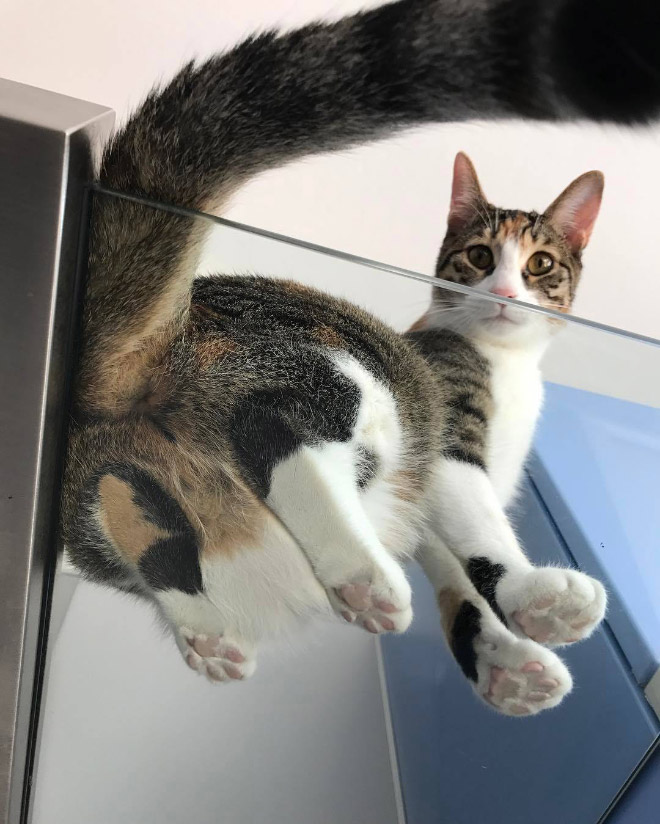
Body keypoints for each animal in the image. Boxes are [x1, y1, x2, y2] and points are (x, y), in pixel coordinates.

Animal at [59, 0, 656, 716]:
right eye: (479, 257)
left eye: (540, 265)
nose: (506, 293)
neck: (507, 368)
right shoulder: (451, 440)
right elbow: (482, 532)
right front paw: (535, 599)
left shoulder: (428, 513)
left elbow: (455, 579)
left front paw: (506, 667)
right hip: (349, 374)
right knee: (273, 426)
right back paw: (362, 575)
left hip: (119, 492)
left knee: (129, 508)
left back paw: (207, 632)